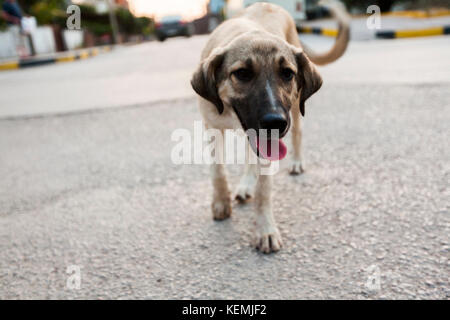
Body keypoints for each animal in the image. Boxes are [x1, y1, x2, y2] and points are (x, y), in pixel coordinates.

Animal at [192, 1, 350, 254]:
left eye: (287, 73)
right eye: (242, 73)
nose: (276, 122)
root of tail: (269, 5)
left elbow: (264, 190)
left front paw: (265, 230)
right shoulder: (212, 127)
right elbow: (217, 171)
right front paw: (221, 202)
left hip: (295, 107)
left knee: (297, 133)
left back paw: (296, 163)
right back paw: (245, 183)